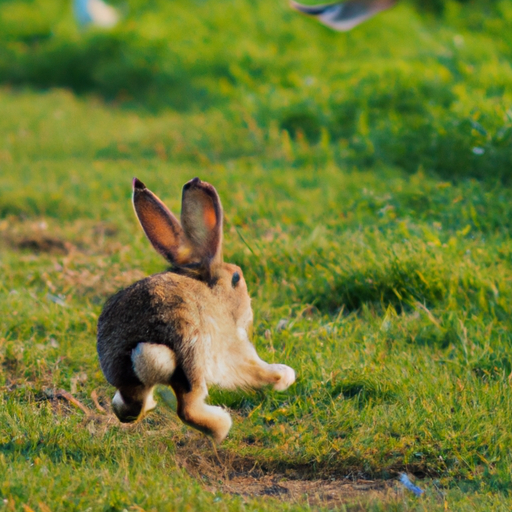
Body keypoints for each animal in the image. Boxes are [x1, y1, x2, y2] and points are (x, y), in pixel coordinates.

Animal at [97, 178, 296, 442]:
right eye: (236, 278)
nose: (249, 313)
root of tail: (138, 347)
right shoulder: (233, 349)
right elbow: (253, 370)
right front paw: (284, 376)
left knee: (129, 408)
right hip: (192, 359)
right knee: (187, 409)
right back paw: (222, 426)